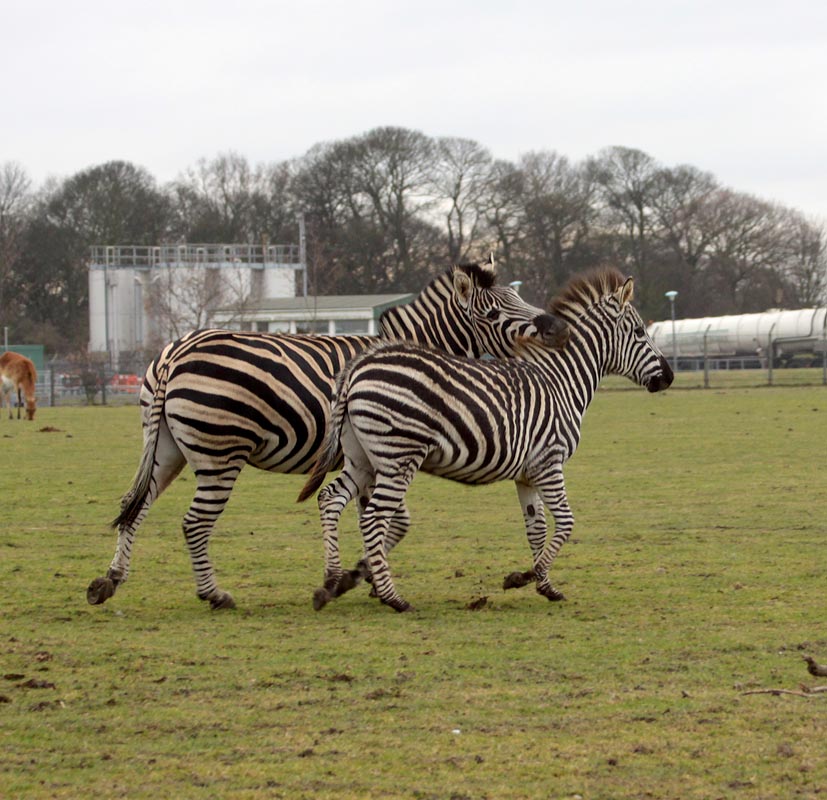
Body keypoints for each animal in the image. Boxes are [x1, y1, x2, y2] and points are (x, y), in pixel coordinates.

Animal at [86, 258, 568, 610]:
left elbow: (374, 517)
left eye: (518, 296)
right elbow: (391, 520)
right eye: (494, 312)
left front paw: (361, 577)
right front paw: (360, 577)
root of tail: (175, 352)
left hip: (167, 448)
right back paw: (215, 594)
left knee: (135, 507)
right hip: (219, 453)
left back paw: (110, 580)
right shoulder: (383, 450)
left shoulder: (368, 458)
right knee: (194, 522)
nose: (556, 326)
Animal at [298, 267, 674, 612]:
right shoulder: (550, 463)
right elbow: (566, 522)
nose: (669, 377)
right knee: (374, 516)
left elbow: (536, 528)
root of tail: (357, 366)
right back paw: (394, 598)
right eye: (640, 332)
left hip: (362, 457)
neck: (561, 380)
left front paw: (543, 585)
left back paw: (331, 583)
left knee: (330, 498)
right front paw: (526, 577)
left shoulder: (528, 474)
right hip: (397, 458)